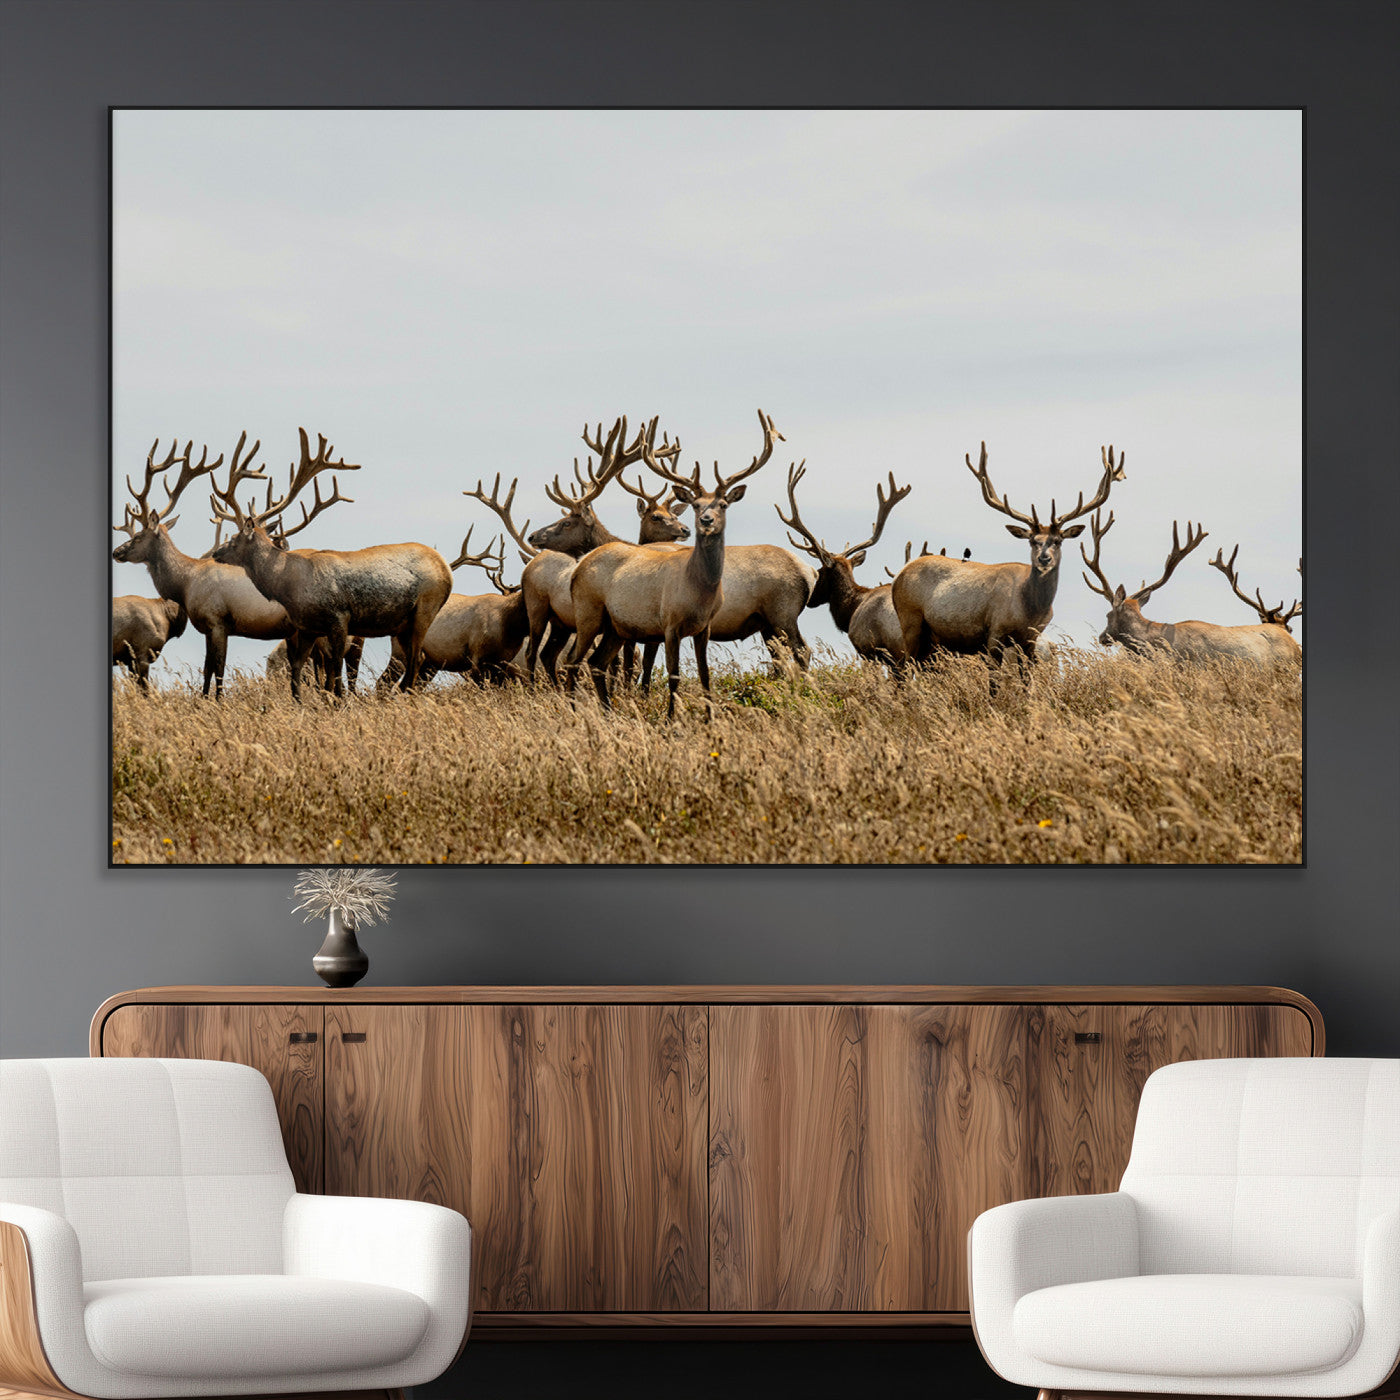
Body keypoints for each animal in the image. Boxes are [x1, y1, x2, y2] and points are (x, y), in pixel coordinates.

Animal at [211, 428, 452, 699]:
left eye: (234, 538)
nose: (216, 552)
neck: (288, 585)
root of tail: (446, 568)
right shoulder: (307, 627)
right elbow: (299, 669)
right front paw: (300, 702)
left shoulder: (339, 617)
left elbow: (335, 670)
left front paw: (337, 702)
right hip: (401, 624)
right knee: (415, 660)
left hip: (426, 607)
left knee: (414, 660)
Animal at [463, 416, 687, 685]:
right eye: (656, 517)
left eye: (568, 522)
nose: (533, 535)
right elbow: (619, 663)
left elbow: (626, 663)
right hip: (546, 615)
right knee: (539, 654)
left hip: (553, 619)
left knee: (542, 655)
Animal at [565, 409, 783, 719]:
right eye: (696, 505)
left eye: (723, 504)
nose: (706, 520)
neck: (699, 591)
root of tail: (578, 567)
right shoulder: (669, 623)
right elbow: (674, 674)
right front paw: (671, 719)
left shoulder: (704, 627)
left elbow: (705, 674)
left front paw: (709, 719)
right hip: (587, 611)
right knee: (573, 661)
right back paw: (574, 711)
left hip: (615, 625)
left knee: (597, 662)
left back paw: (607, 712)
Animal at [892, 441, 1126, 671]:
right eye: (1032, 540)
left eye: (1058, 541)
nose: (1044, 559)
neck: (1029, 611)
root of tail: (899, 575)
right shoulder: (995, 631)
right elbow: (994, 678)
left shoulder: (1030, 639)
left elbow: (1027, 677)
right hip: (910, 620)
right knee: (904, 668)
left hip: (931, 639)